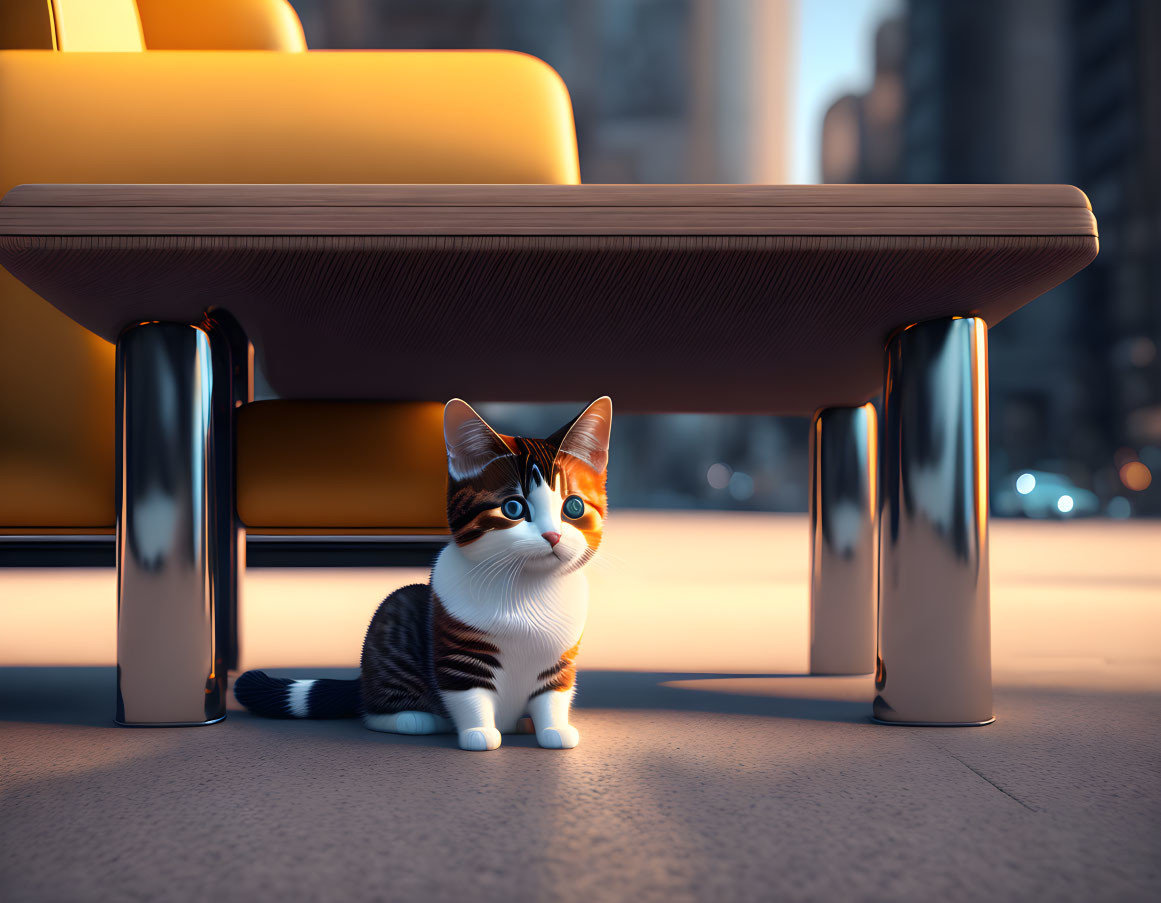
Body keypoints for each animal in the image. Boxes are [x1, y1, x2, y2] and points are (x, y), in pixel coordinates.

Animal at [232, 394, 613, 747]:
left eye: (573, 507)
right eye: (514, 508)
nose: (553, 535)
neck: (526, 587)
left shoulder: (561, 660)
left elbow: (553, 698)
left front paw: (554, 730)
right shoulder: (458, 655)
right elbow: (470, 697)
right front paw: (478, 734)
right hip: (393, 617)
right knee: (371, 709)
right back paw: (416, 719)